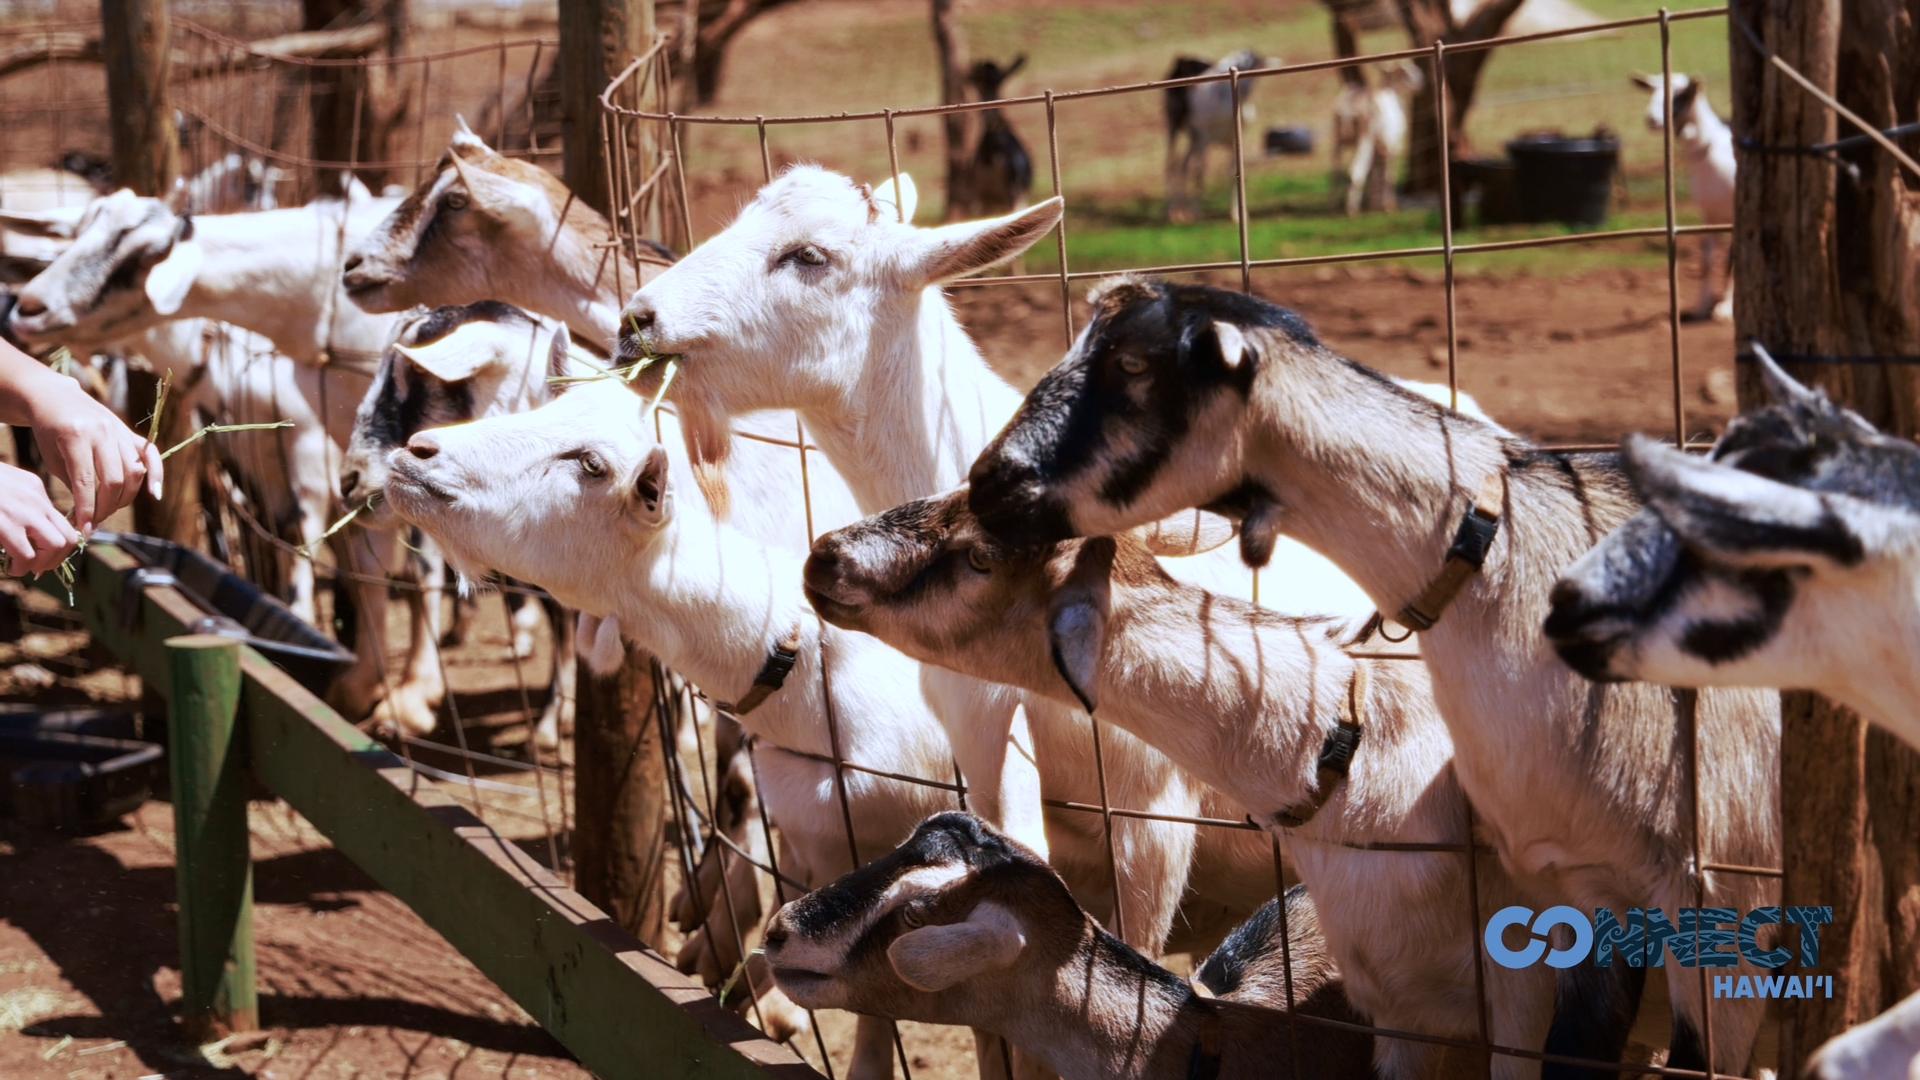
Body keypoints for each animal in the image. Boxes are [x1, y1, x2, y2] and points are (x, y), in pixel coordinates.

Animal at [1163, 50, 1274, 224]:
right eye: (1244, 65)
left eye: (1257, 66)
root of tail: (1180, 61)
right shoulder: (1204, 138)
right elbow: (1200, 173)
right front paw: (1197, 212)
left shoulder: (1235, 140)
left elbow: (1233, 173)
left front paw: (1237, 214)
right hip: (1174, 126)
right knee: (1170, 165)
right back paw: (1172, 212)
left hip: (1193, 138)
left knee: (1183, 166)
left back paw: (1181, 212)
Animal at [1331, 61, 1422, 216]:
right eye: (1404, 71)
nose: (1422, 81)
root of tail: (1347, 110)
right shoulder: (1391, 146)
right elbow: (1389, 175)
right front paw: (1389, 206)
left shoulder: (1377, 147)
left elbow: (1373, 173)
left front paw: (1372, 205)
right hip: (1364, 139)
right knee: (1355, 171)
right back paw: (1352, 210)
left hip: (1338, 141)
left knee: (1336, 172)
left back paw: (1336, 204)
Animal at [1631, 74, 1734, 322]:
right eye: (1652, 90)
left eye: (1680, 94)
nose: (1651, 119)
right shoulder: (1708, 216)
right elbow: (1706, 261)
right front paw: (1702, 307)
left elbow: (1731, 259)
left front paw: (1725, 309)